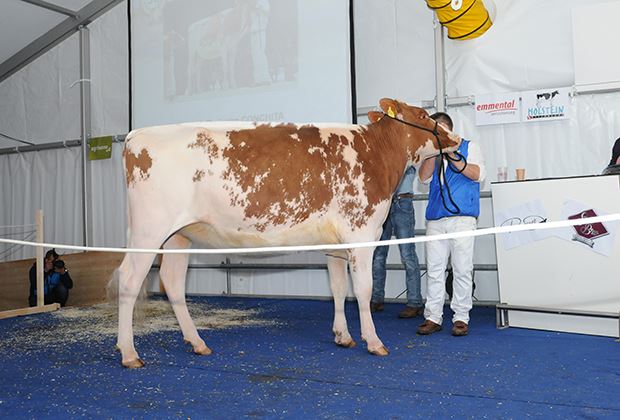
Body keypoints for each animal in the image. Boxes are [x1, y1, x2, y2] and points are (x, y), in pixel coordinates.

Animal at [116, 98, 461, 368]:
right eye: (424, 116)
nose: (456, 136)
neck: (374, 154)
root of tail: (136, 135)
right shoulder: (361, 233)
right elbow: (363, 289)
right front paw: (373, 341)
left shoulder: (334, 243)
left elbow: (338, 289)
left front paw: (343, 336)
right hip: (149, 230)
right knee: (129, 279)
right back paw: (129, 353)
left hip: (179, 235)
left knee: (172, 282)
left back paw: (197, 342)